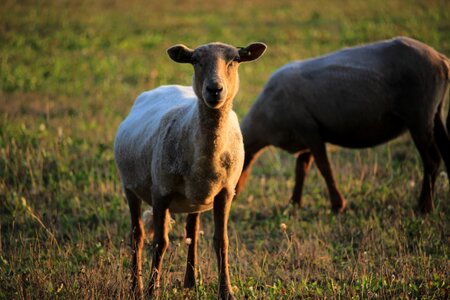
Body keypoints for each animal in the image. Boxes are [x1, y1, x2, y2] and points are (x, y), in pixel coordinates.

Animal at [114, 41, 266, 298]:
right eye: (195, 61)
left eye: (234, 60)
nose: (214, 89)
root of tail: (163, 87)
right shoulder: (161, 192)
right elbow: (161, 242)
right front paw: (152, 291)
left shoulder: (225, 192)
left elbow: (221, 241)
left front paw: (226, 291)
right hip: (130, 187)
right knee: (138, 235)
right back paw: (137, 286)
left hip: (194, 200)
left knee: (191, 233)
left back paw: (190, 281)